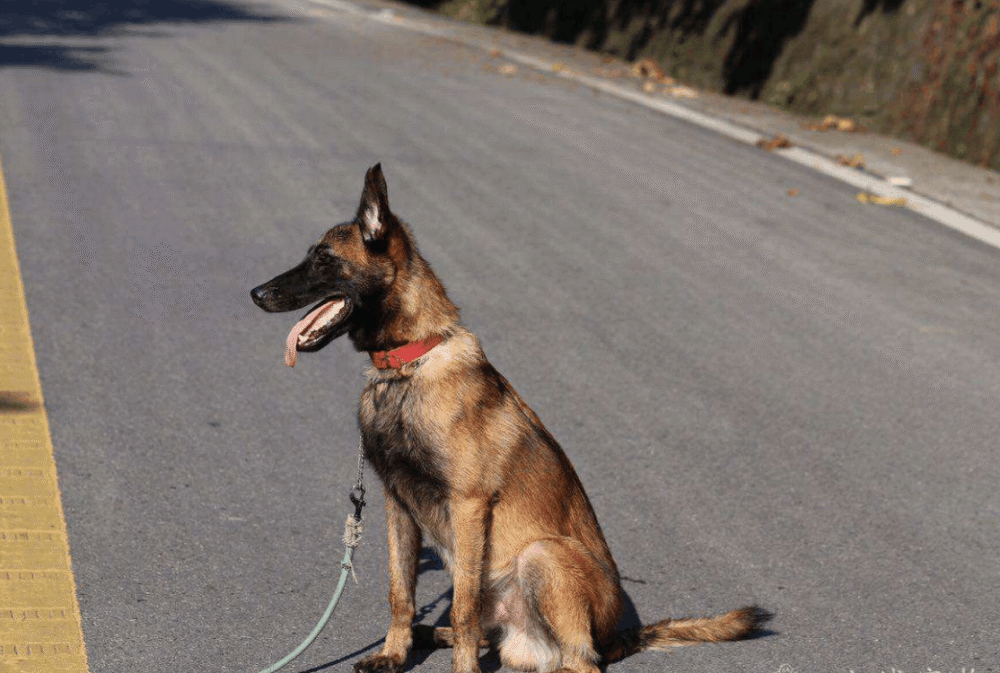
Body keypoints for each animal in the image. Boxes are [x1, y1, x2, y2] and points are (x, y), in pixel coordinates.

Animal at [252, 164, 772, 672]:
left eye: (324, 259)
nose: (256, 293)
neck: (408, 365)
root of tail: (617, 637)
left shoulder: (467, 506)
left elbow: (462, 609)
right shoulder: (397, 504)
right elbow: (400, 592)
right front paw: (394, 654)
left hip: (542, 556)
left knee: (575, 660)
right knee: (490, 635)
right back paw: (430, 635)